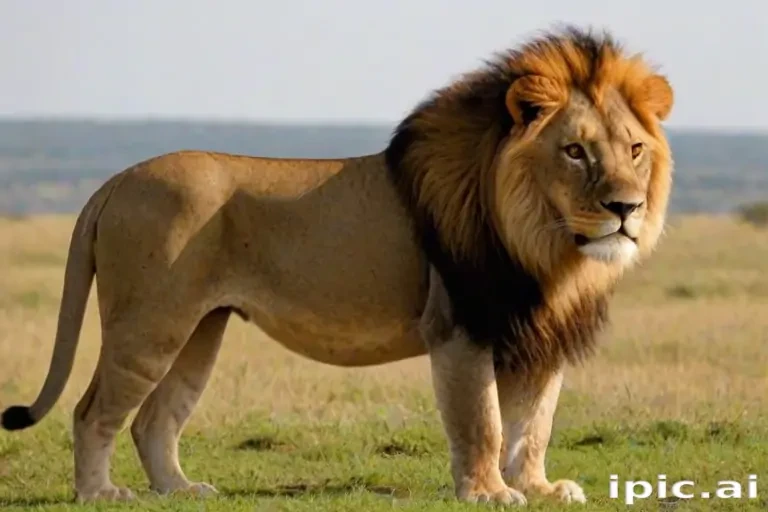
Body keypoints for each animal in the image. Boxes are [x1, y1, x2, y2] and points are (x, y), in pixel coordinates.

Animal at [1, 26, 674, 506]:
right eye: (575, 151)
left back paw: (180, 491)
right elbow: (483, 420)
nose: (626, 208)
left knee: (153, 419)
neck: (550, 248)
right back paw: (100, 493)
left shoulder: (539, 334)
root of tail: (115, 180)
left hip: (199, 329)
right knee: (94, 411)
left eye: (635, 150)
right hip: (150, 323)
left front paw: (538, 488)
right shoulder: (461, 325)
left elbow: (534, 423)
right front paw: (489, 493)